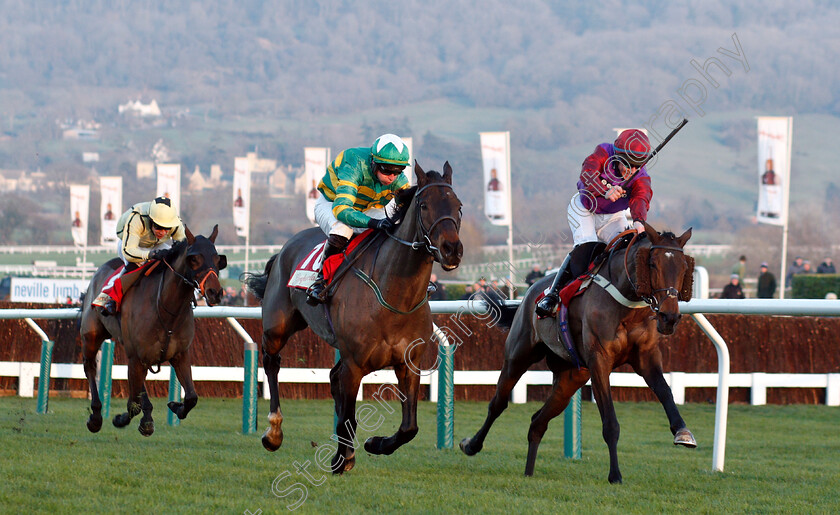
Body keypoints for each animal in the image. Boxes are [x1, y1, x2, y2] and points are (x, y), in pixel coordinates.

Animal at [79, 225, 226, 436]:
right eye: (194, 259)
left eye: (217, 259)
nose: (215, 292)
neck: (167, 308)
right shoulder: (137, 356)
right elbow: (134, 403)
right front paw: (125, 419)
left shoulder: (179, 354)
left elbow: (191, 397)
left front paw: (175, 406)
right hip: (92, 335)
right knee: (89, 366)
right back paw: (96, 416)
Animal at [243, 163, 462, 474]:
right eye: (424, 205)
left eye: (459, 206)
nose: (451, 249)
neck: (394, 296)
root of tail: (284, 248)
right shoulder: (355, 364)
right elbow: (348, 415)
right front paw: (342, 458)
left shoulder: (408, 364)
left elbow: (409, 427)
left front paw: (374, 444)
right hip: (277, 326)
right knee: (272, 362)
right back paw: (274, 432)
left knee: (332, 379)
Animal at [460, 224, 696, 486]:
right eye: (653, 264)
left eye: (684, 268)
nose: (669, 317)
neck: (627, 304)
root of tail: (530, 292)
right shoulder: (599, 360)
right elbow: (610, 422)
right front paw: (615, 475)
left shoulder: (646, 356)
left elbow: (665, 391)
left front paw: (683, 432)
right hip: (518, 356)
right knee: (498, 404)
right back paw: (471, 445)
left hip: (571, 376)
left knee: (538, 421)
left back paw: (528, 472)